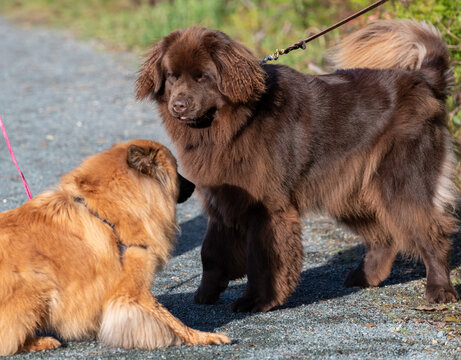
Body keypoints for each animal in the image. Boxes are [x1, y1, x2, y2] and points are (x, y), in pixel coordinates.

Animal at [0, 139, 229, 356]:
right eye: (177, 170)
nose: (194, 185)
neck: (111, 210)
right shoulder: (134, 290)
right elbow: (171, 320)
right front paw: (204, 336)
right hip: (39, 288)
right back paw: (41, 341)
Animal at [136, 20, 456, 312]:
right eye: (172, 76)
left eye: (202, 77)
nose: (178, 105)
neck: (233, 123)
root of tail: (422, 80)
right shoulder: (222, 199)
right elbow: (211, 252)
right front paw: (206, 294)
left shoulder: (266, 206)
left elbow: (262, 258)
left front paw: (257, 301)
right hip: (349, 188)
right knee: (384, 236)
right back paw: (366, 277)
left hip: (400, 180)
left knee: (430, 230)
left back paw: (439, 289)